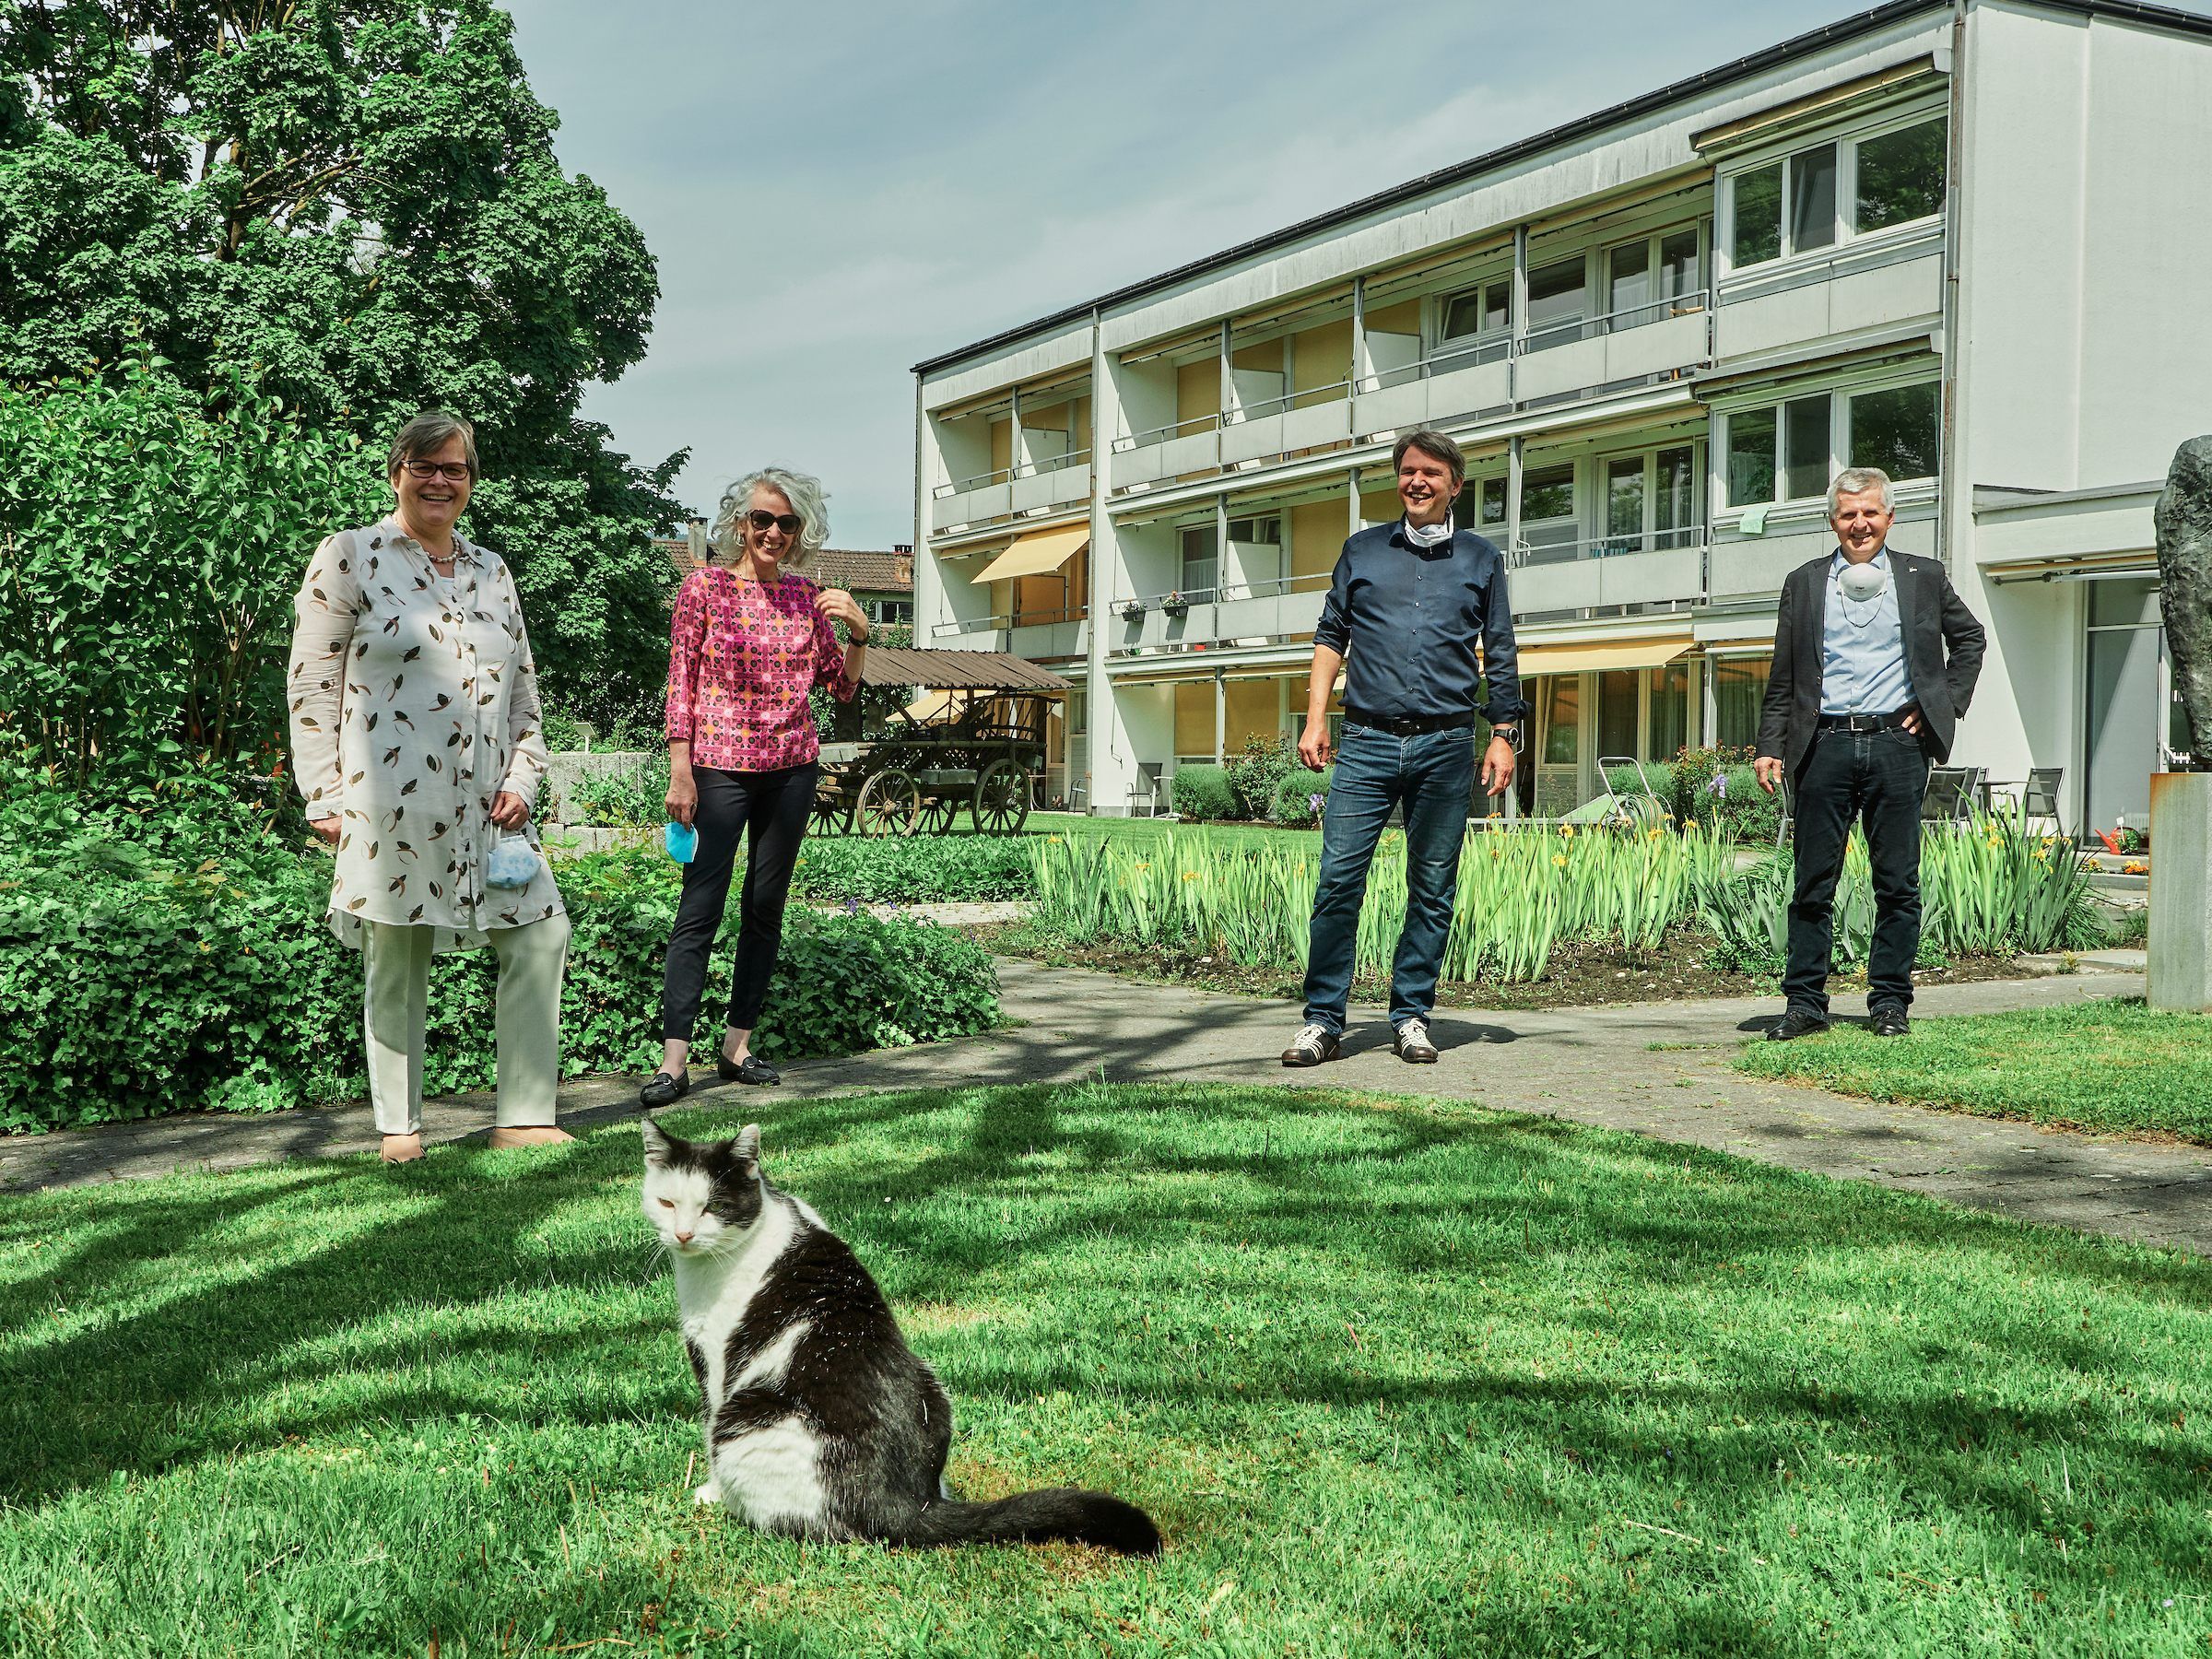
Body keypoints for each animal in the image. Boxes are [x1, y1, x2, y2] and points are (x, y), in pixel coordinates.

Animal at [637, 1119, 1159, 1557]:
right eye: (667, 1203)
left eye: (713, 1207)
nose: (683, 1234)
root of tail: (907, 1504)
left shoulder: (713, 1358)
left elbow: (706, 1420)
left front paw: (708, 1491)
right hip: (932, 1383)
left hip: (747, 1419)